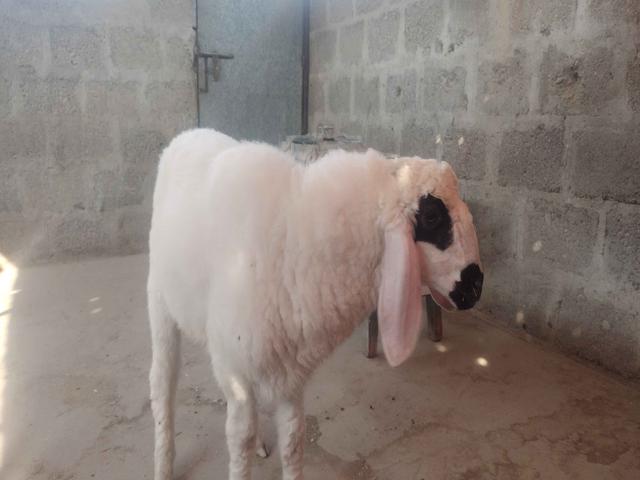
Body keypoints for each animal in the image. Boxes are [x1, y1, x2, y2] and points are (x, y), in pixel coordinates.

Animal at [148, 128, 483, 480]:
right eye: (432, 216)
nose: (476, 287)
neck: (297, 240)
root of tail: (189, 134)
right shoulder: (237, 372)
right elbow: (240, 444)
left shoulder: (290, 374)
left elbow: (293, 441)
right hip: (159, 300)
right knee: (163, 382)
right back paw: (163, 464)